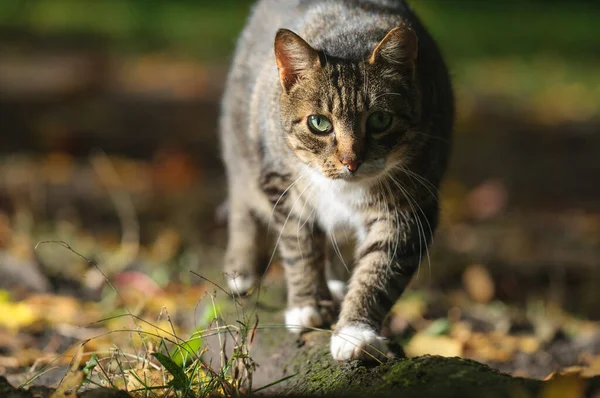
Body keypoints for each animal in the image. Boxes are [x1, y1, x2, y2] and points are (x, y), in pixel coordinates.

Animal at [218, 0, 452, 360]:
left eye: (380, 120)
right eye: (319, 123)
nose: (351, 161)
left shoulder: (410, 205)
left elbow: (379, 270)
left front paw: (356, 331)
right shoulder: (282, 186)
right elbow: (300, 246)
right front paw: (308, 305)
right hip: (241, 149)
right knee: (243, 205)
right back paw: (241, 270)